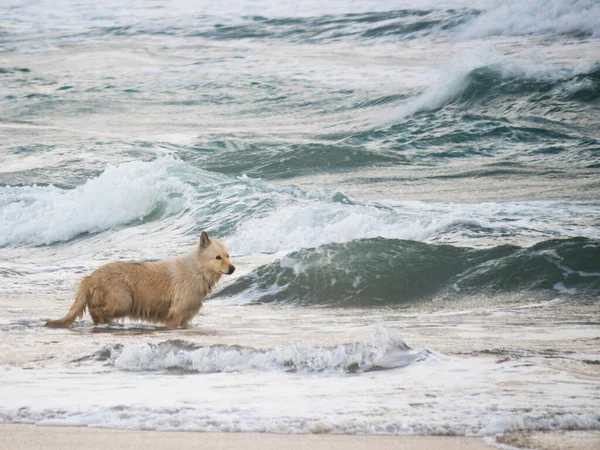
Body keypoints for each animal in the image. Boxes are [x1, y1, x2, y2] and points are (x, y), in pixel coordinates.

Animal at [44, 230, 236, 328]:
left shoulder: (186, 317)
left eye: (228, 255)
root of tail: (90, 277)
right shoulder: (175, 313)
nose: (233, 268)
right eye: (218, 257)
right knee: (97, 311)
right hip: (123, 300)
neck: (198, 270)